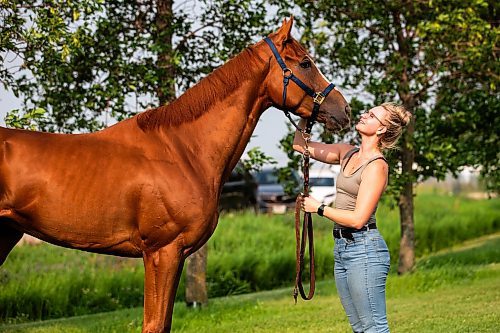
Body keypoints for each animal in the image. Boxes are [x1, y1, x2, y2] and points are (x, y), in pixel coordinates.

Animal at [0, 18, 350, 332]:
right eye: (305, 63)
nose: (343, 110)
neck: (183, 151)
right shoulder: (161, 252)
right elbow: (154, 324)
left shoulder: (175, 255)